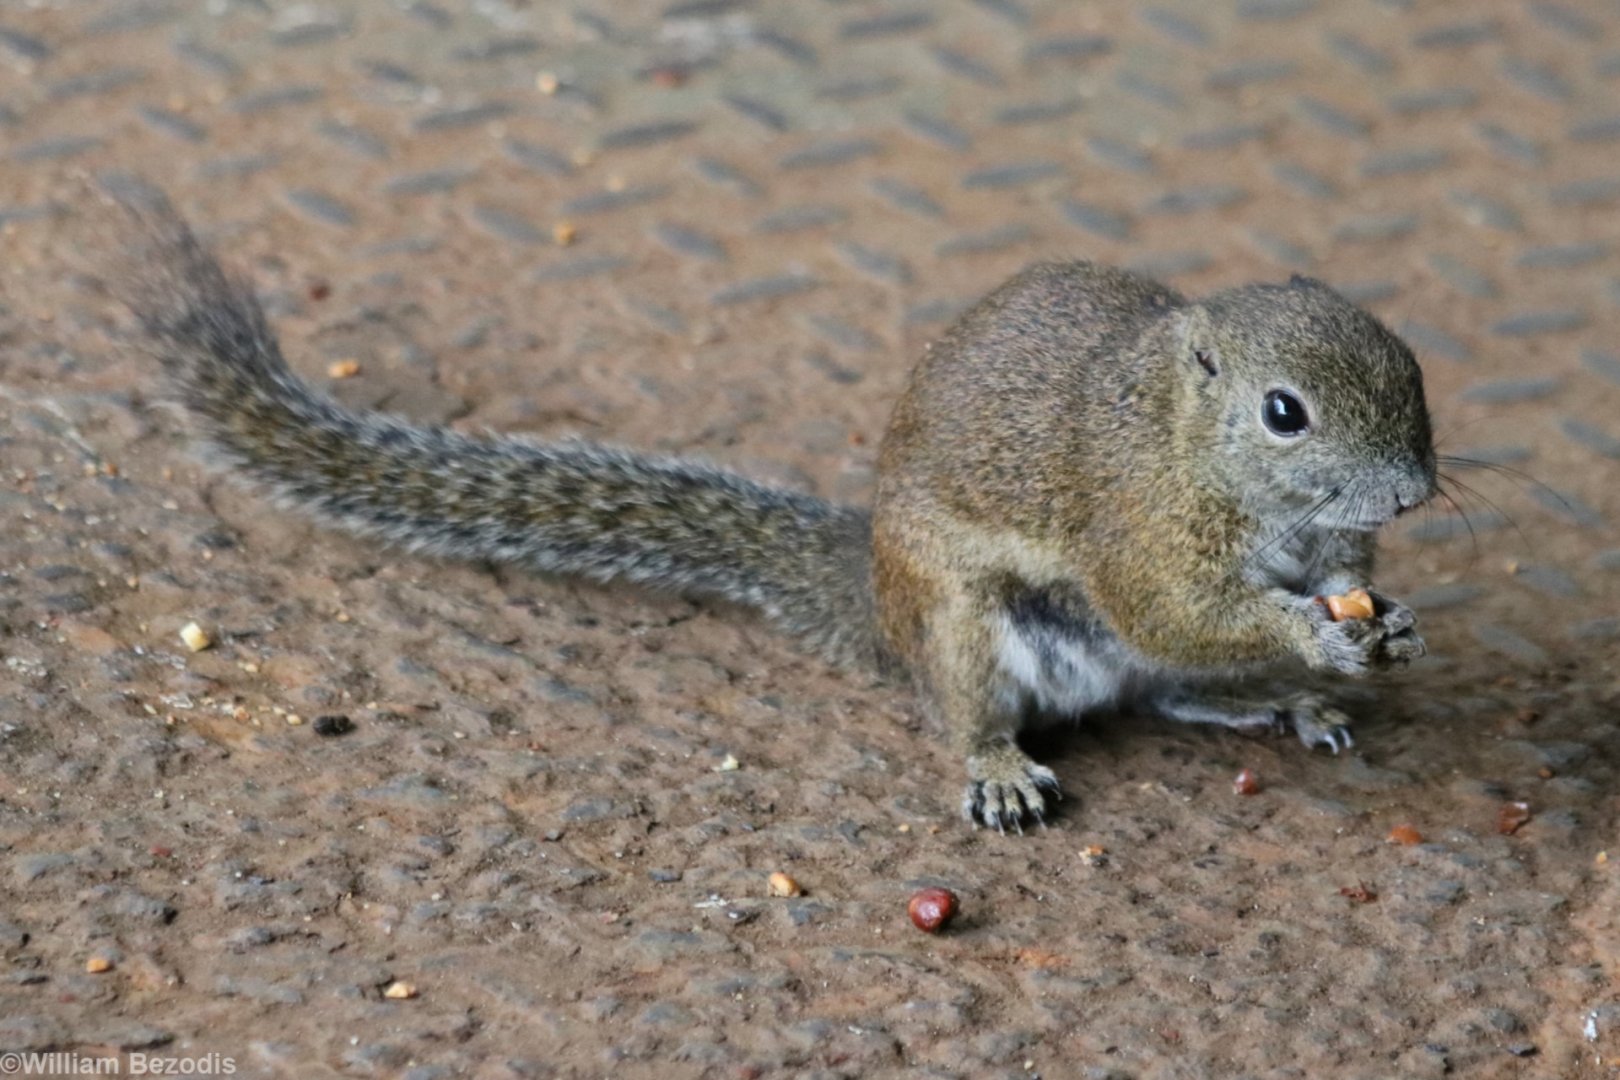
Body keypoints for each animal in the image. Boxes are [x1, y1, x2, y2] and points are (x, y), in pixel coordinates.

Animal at [106, 193, 1435, 832]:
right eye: (1284, 413)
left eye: (1414, 368)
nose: (1417, 490)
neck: (1187, 443)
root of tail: (881, 608)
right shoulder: (1139, 532)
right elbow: (1183, 608)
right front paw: (1316, 637)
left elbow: (1312, 593)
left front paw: (1371, 629)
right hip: (964, 623)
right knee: (991, 702)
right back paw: (1002, 766)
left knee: (1166, 689)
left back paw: (1279, 703)